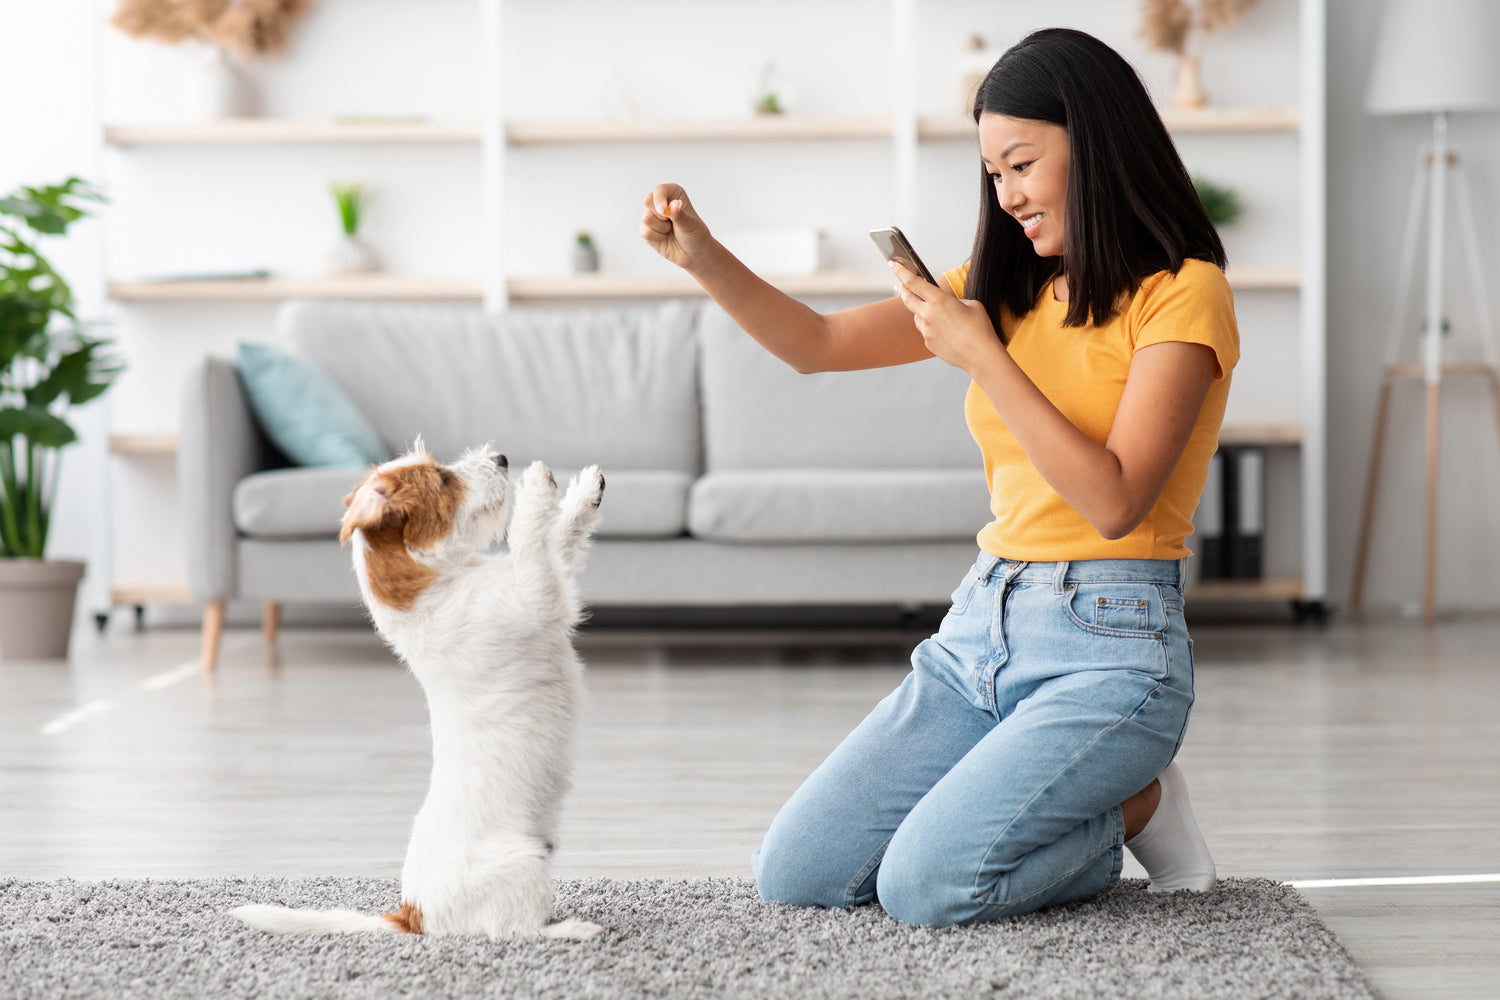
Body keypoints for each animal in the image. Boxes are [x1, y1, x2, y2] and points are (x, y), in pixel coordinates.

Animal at [232, 440, 603, 941]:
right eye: (444, 479)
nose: (503, 458)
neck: (437, 584)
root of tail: (413, 914)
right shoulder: (533, 595)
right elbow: (531, 543)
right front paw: (535, 487)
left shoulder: (543, 582)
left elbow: (560, 539)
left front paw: (584, 492)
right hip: (525, 867)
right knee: (514, 931)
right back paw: (573, 930)